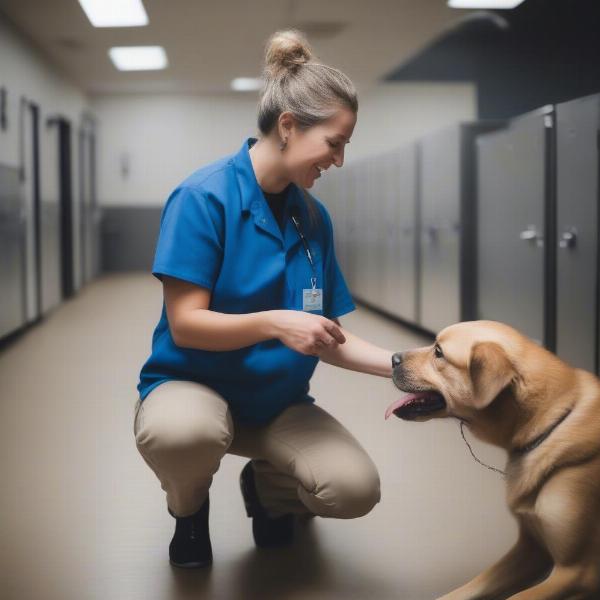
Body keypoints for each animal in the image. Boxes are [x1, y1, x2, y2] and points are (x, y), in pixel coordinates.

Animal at [386, 322, 600, 596]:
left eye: (439, 352)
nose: (392, 358)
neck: (552, 422)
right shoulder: (530, 549)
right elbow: (465, 591)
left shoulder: (576, 572)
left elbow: (520, 597)